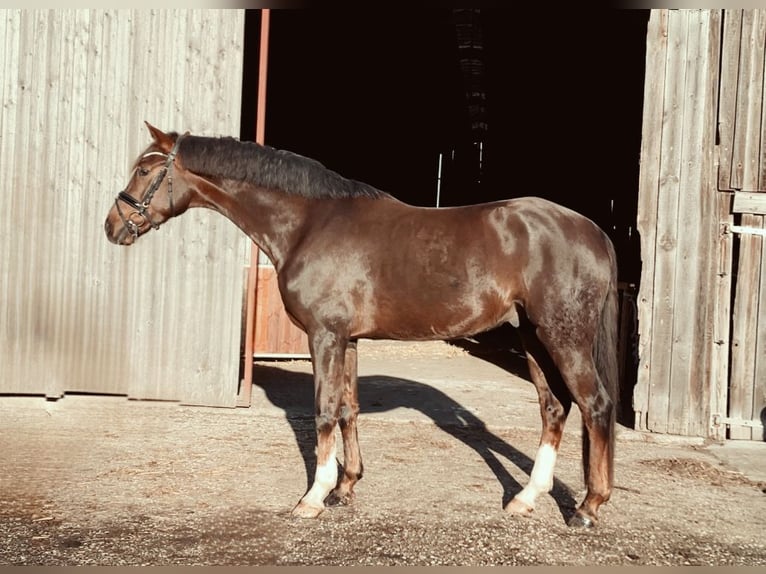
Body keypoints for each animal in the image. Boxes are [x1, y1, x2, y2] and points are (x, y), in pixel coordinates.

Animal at [104, 122, 619, 528]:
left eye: (146, 170)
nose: (112, 226)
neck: (309, 222)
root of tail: (593, 231)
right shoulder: (347, 340)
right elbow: (348, 409)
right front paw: (345, 488)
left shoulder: (324, 335)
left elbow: (324, 411)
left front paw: (313, 498)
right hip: (532, 336)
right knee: (554, 409)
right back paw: (526, 499)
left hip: (563, 337)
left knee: (594, 406)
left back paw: (588, 509)